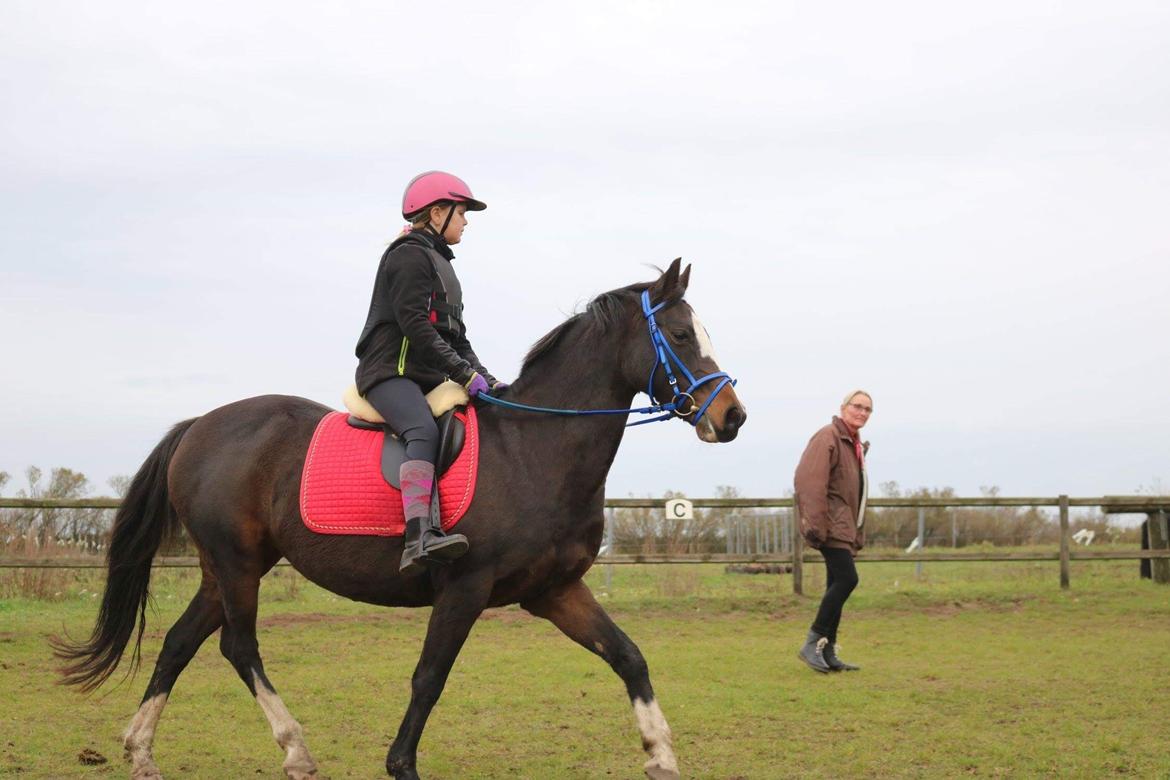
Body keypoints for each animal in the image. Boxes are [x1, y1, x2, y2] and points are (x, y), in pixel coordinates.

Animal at [54, 257, 748, 780]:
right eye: (681, 336)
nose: (733, 417)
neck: (536, 448)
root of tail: (198, 425)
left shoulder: (555, 591)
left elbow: (629, 657)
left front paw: (661, 756)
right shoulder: (466, 589)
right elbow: (429, 678)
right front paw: (401, 765)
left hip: (223, 567)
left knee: (179, 644)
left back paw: (142, 752)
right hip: (237, 563)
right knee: (237, 645)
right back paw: (295, 750)